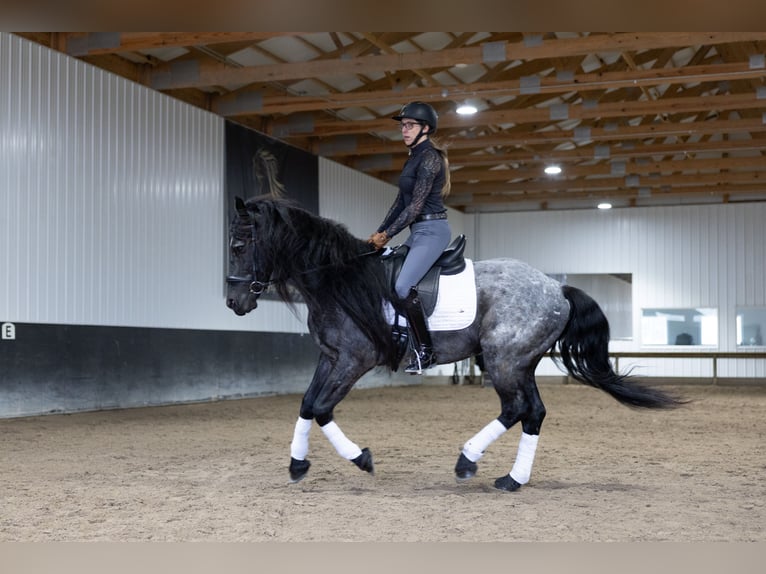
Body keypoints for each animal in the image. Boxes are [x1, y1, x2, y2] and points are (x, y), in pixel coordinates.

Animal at [226, 195, 684, 491]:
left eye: (240, 245)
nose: (234, 302)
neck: (338, 278)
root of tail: (556, 288)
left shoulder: (355, 360)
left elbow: (322, 407)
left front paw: (361, 459)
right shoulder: (331, 356)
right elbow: (307, 404)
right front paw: (297, 464)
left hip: (502, 360)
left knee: (516, 408)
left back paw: (468, 462)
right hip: (520, 362)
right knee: (533, 412)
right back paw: (512, 480)